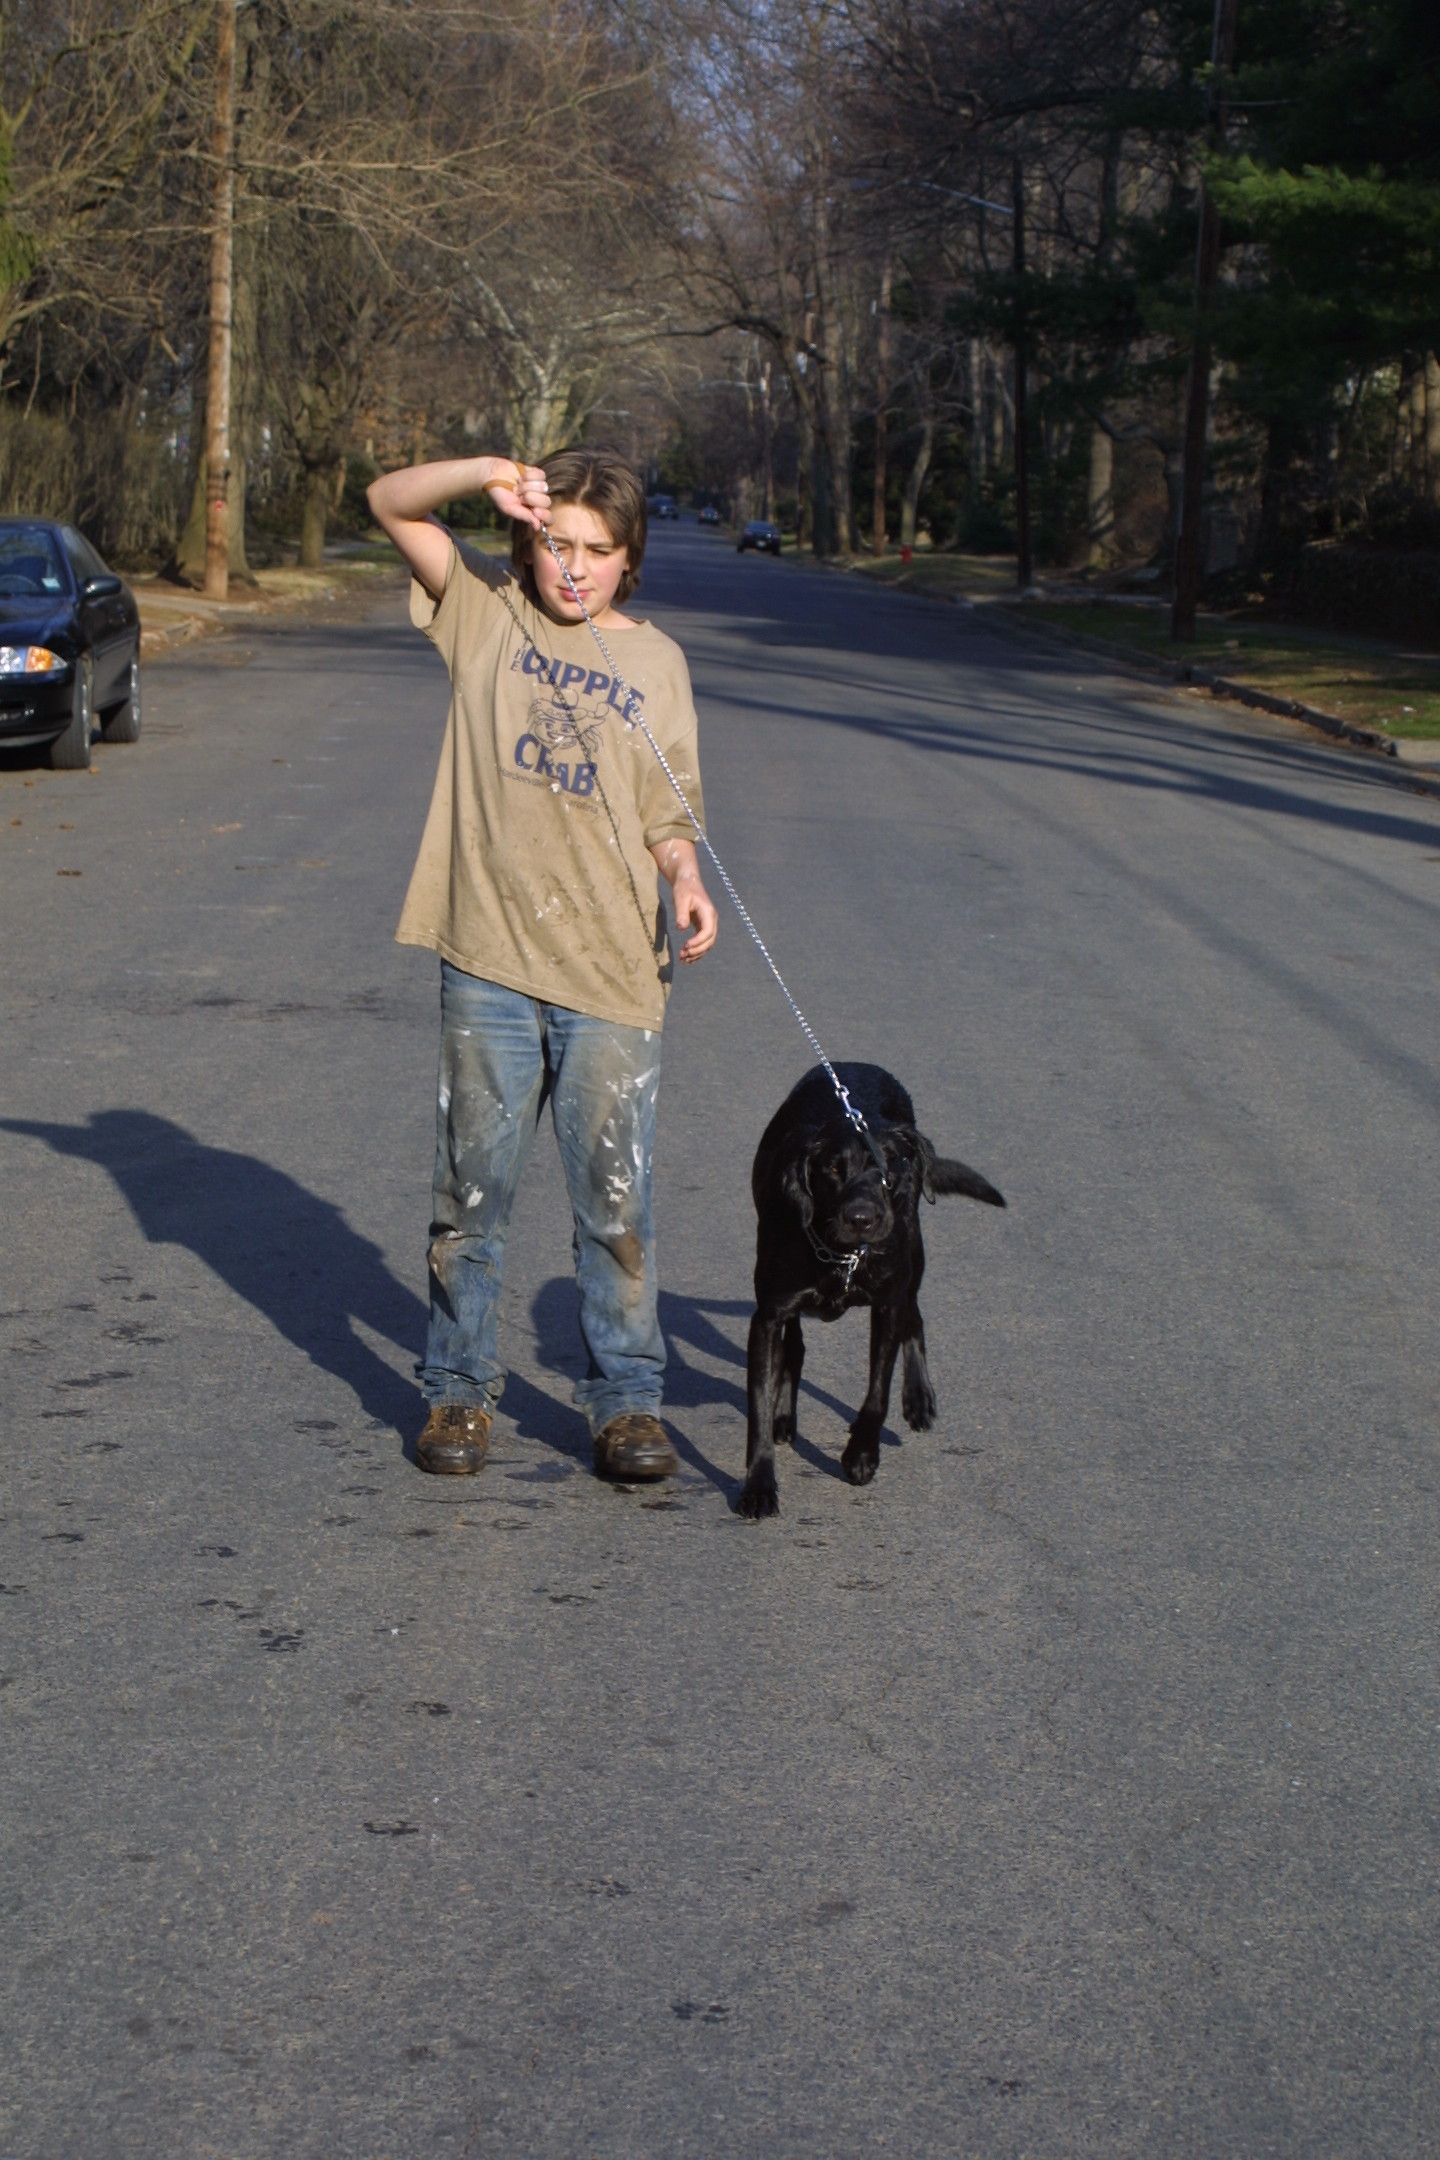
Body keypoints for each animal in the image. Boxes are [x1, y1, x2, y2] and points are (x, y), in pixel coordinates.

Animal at [740, 1062, 1004, 1520]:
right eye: (832, 1168)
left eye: (888, 1167)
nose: (861, 1218)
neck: (842, 1256)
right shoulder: (769, 1315)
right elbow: (758, 1402)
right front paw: (758, 1485)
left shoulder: (887, 1306)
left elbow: (877, 1392)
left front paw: (861, 1454)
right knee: (795, 1348)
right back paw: (784, 1416)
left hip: (913, 1249)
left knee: (915, 1315)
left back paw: (918, 1398)